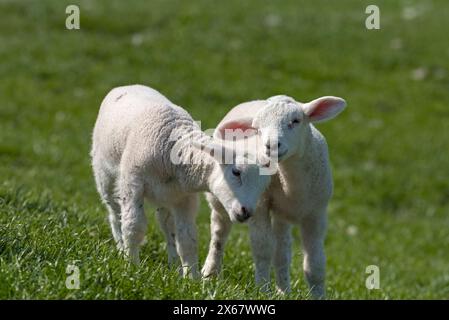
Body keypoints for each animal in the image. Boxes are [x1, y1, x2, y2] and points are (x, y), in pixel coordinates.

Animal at [90, 84, 270, 278]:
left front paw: (192, 279)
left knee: (167, 224)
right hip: (104, 173)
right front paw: (132, 268)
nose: (246, 212)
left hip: (166, 195)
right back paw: (121, 249)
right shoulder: (132, 182)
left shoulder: (185, 198)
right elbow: (133, 226)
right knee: (115, 213)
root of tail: (127, 86)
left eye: (263, 186)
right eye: (236, 172)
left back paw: (174, 265)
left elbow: (187, 239)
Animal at [202, 94, 346, 298]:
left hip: (282, 215)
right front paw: (262, 290)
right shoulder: (260, 205)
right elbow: (263, 248)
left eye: (296, 121)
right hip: (222, 199)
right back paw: (210, 274)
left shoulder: (316, 214)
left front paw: (318, 295)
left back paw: (284, 291)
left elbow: (315, 263)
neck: (292, 186)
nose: (271, 146)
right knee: (219, 233)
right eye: (257, 129)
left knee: (282, 251)